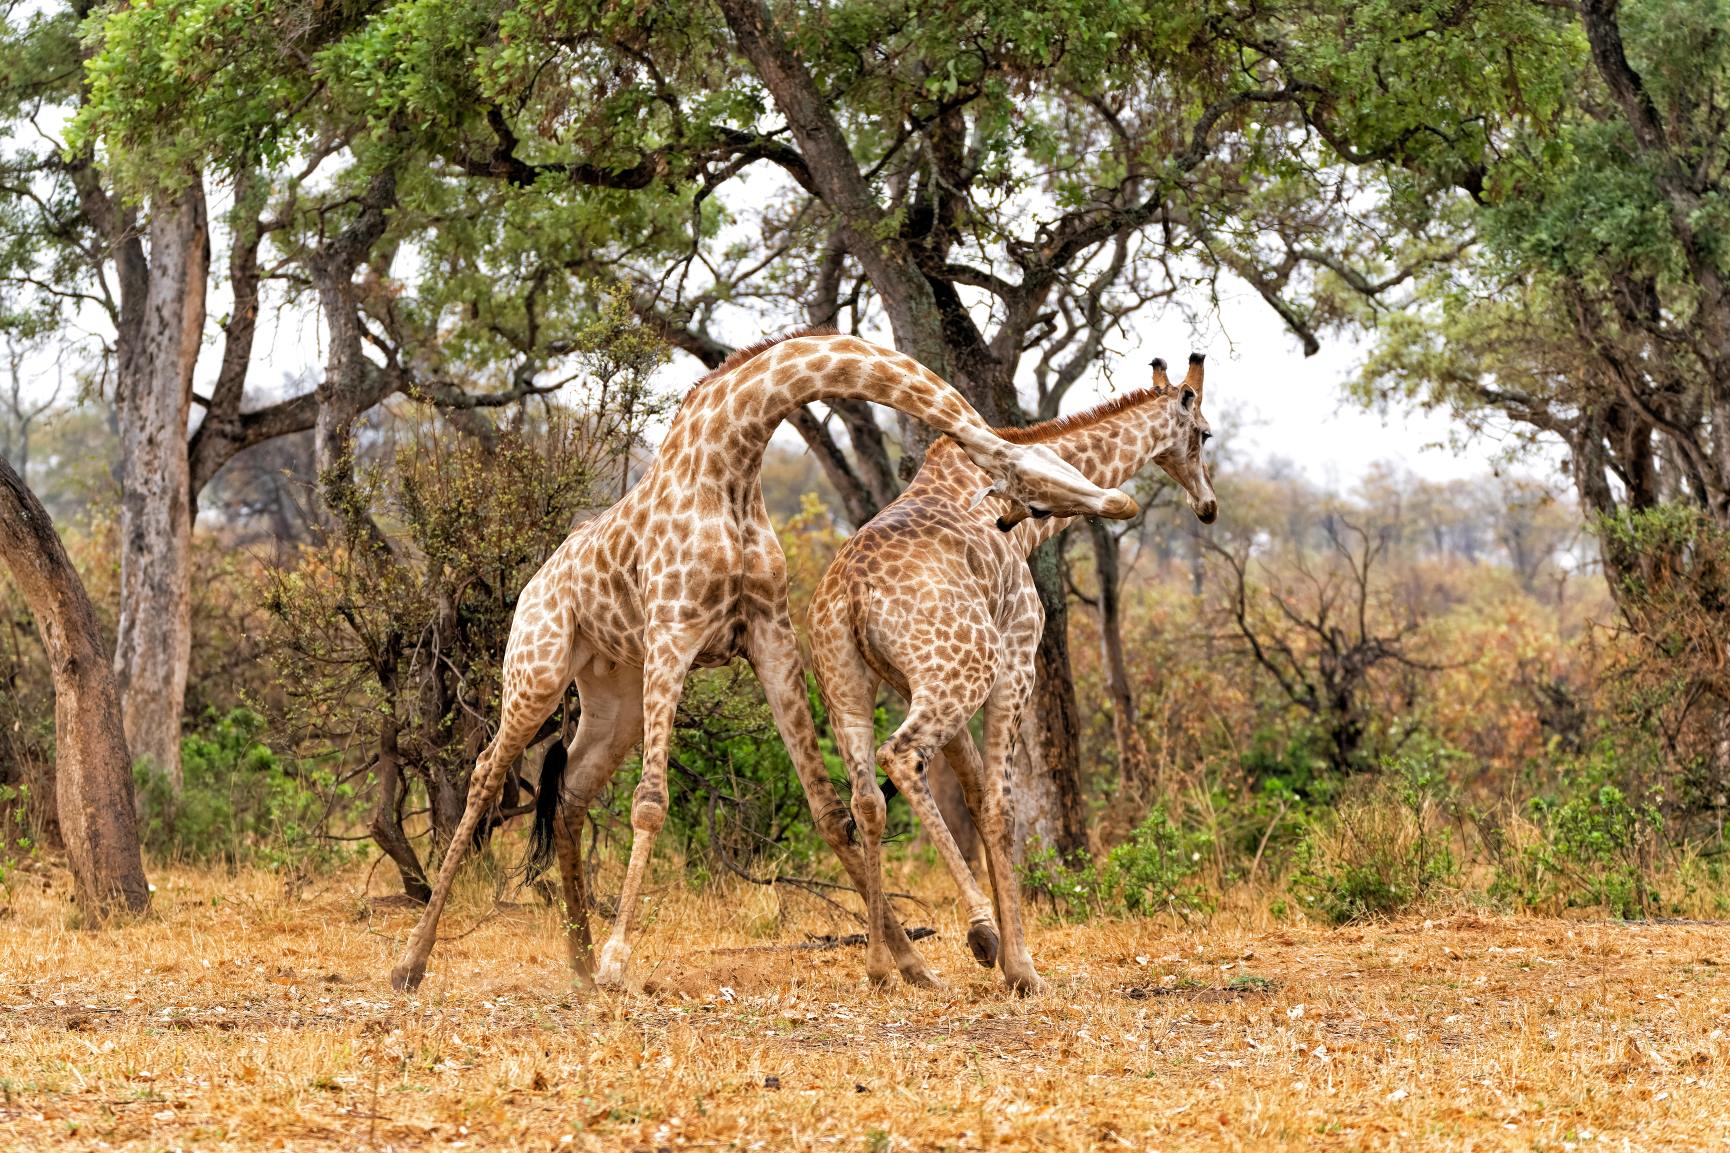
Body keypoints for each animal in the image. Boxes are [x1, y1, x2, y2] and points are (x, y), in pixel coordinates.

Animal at [387, 329, 1141, 993]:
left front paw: (912, 964)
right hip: (539, 668)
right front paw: (619, 963)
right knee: (486, 773)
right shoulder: (674, 630)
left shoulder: (770, 635)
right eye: (1028, 478)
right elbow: (651, 803)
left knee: (570, 790)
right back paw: (415, 962)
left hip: (614, 695)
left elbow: (830, 808)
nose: (1123, 501)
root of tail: (533, 584)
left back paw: (574, 961)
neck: (732, 457)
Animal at [808, 353, 1215, 993]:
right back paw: (977, 932)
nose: (1208, 504)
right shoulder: (1017, 654)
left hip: (849, 684)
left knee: (866, 798)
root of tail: (850, 592)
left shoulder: (911, 682)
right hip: (963, 673)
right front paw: (1020, 965)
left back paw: (885, 967)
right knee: (901, 756)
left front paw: (1006, 953)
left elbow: (976, 796)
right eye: (1204, 434)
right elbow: (1001, 807)